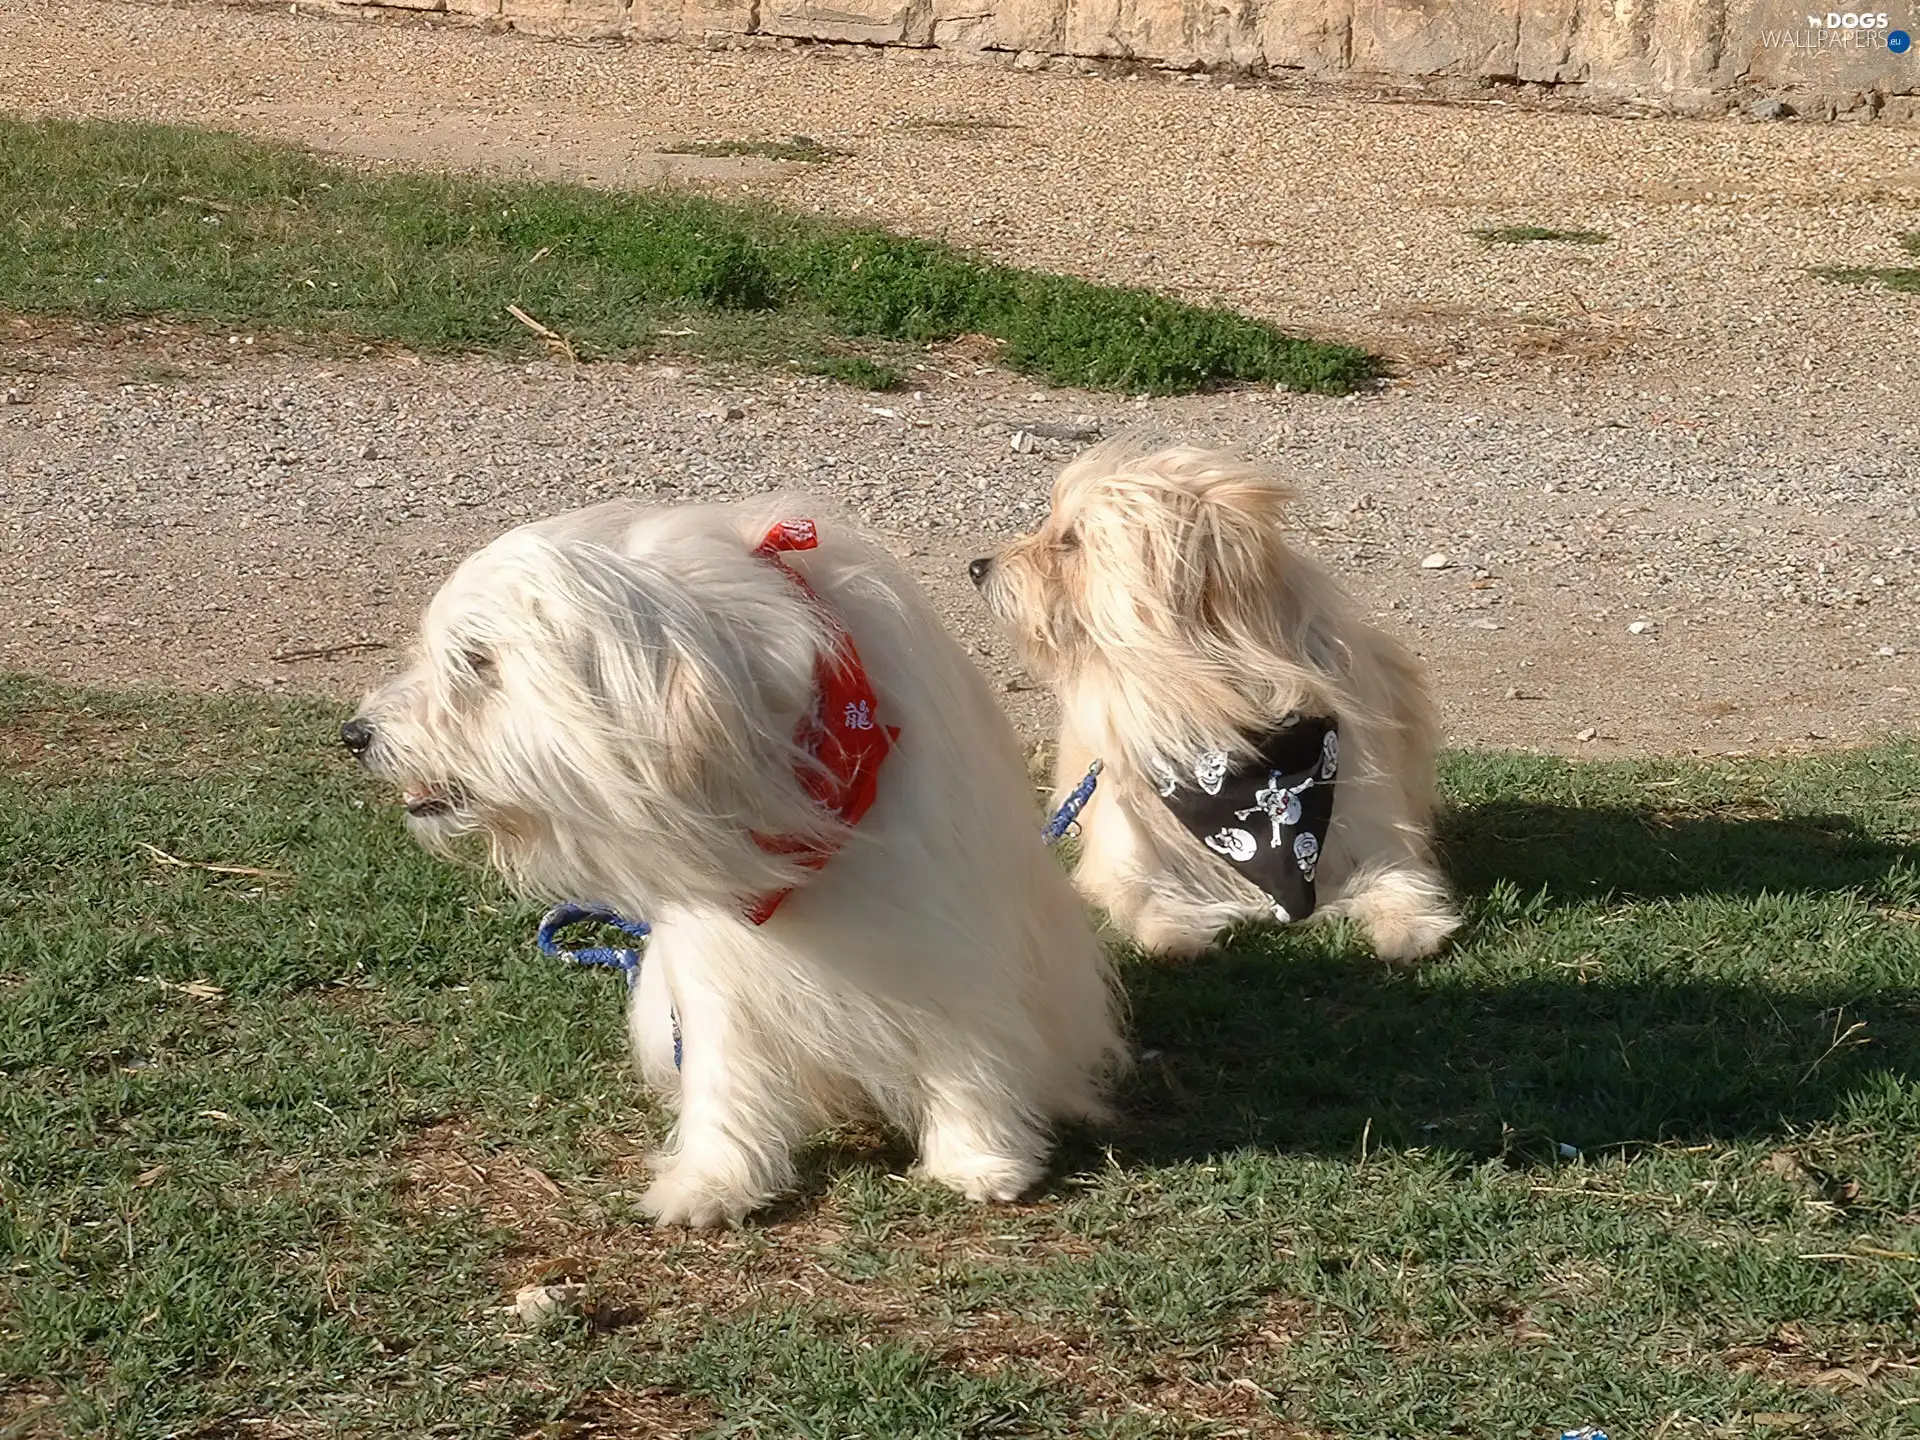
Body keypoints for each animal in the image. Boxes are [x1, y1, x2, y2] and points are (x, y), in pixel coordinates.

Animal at [345, 495, 1121, 1228]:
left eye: (477, 661)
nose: (355, 734)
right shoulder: (718, 965)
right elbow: (725, 1075)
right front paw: (713, 1181)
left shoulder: (947, 925)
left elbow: (968, 1044)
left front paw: (980, 1157)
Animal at [967, 443, 1459, 971]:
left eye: (1070, 540)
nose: (978, 567)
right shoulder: (1129, 857)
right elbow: (1144, 897)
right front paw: (1172, 933)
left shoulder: (1368, 834)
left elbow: (1398, 878)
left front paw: (1408, 927)